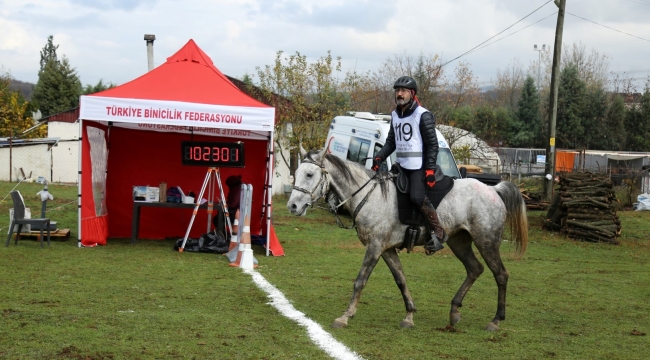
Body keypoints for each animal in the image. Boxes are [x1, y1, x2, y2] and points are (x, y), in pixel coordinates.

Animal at [284, 149, 528, 332]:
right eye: (297, 172)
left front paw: (345, 316)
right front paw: (409, 315)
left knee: (500, 274)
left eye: (309, 174)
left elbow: (360, 280)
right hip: (459, 242)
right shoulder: (386, 249)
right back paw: (454, 311)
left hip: (486, 242)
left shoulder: (374, 247)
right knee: (474, 269)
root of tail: (493, 189)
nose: (293, 206)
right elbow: (400, 279)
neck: (369, 196)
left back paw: (496, 320)